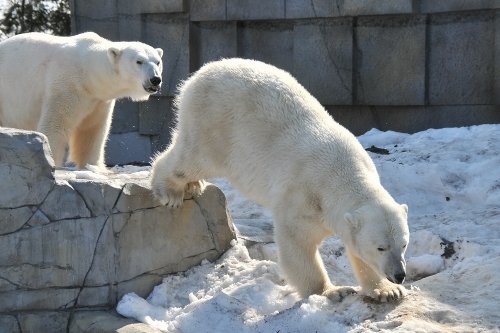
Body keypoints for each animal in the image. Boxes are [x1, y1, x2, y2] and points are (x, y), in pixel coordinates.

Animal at [0, 32, 163, 167]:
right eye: (139, 61)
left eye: (157, 62)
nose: (155, 79)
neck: (87, 70)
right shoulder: (66, 85)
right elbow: (55, 125)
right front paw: (51, 161)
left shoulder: (99, 100)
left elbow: (91, 130)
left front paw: (92, 167)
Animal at [149, 58, 410, 302]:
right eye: (381, 247)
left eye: (404, 244)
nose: (399, 275)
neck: (343, 171)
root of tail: (202, 72)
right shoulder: (304, 195)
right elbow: (297, 243)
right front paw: (330, 291)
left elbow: (357, 253)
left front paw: (387, 291)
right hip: (214, 123)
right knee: (192, 158)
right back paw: (171, 191)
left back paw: (194, 185)